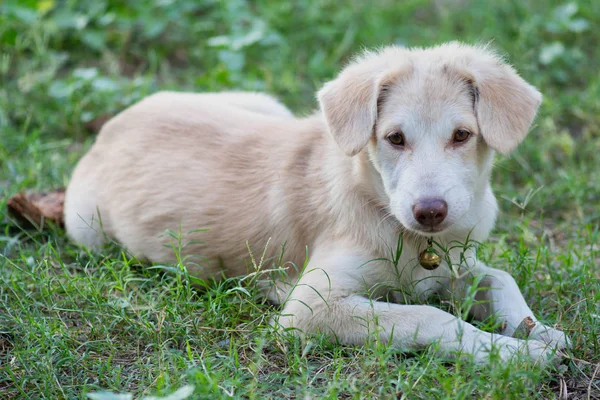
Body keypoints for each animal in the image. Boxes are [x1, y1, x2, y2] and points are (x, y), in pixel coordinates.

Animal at [64, 43, 568, 362]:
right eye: (395, 138)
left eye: (461, 135)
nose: (430, 212)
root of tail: (111, 126)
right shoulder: (310, 307)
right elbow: (429, 318)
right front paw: (514, 355)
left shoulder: (456, 263)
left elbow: (499, 278)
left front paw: (539, 330)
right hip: (86, 227)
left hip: (265, 105)